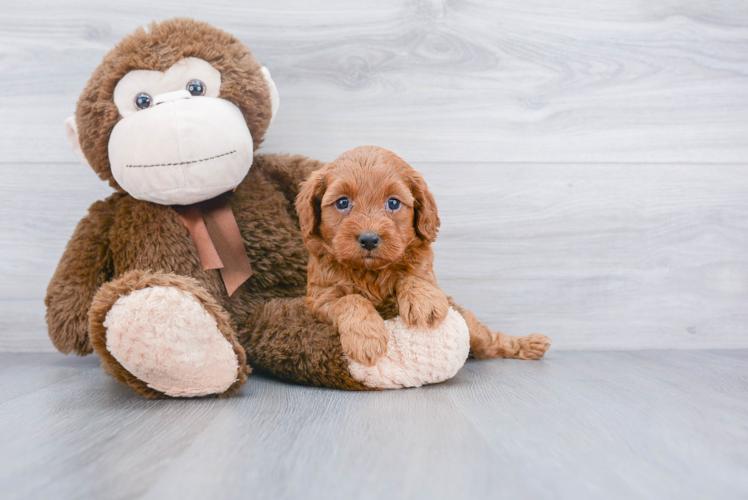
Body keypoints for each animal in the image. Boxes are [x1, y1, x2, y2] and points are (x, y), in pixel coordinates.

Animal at [296, 145, 548, 368]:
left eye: (393, 202)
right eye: (342, 202)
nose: (369, 239)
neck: (372, 272)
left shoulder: (430, 278)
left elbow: (414, 277)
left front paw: (424, 304)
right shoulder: (321, 298)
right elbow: (351, 299)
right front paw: (367, 339)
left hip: (474, 330)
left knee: (490, 341)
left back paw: (528, 344)